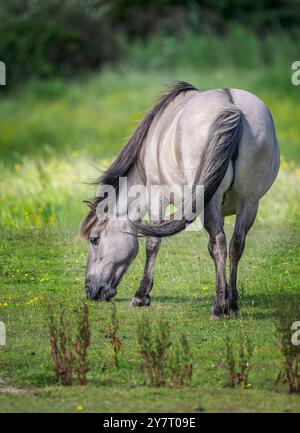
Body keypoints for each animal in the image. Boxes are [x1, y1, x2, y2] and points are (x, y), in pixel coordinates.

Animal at [80, 81, 278, 318]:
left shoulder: (157, 196)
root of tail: (233, 106)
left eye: (94, 239)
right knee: (235, 244)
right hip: (249, 202)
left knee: (218, 243)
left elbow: (152, 243)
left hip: (210, 202)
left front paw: (141, 295)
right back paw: (232, 305)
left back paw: (220, 307)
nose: (90, 290)